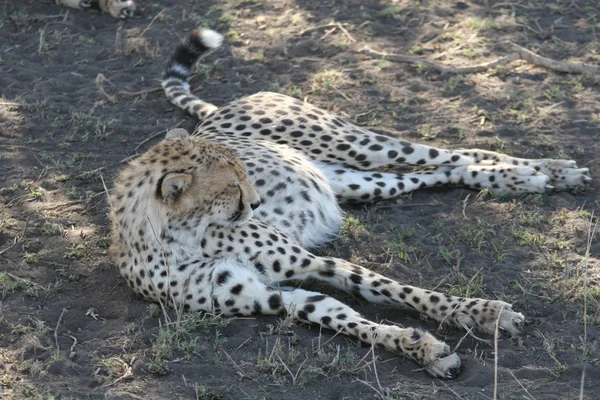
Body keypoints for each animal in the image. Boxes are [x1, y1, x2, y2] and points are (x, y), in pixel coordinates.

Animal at [109, 28, 592, 378]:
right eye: (231, 185)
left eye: (243, 173)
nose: (258, 202)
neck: (185, 236)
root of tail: (218, 112)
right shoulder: (269, 295)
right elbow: (340, 315)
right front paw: (421, 348)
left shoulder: (310, 261)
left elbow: (396, 289)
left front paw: (481, 313)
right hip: (358, 182)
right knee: (439, 172)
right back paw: (525, 177)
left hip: (357, 144)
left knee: (454, 153)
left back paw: (543, 172)